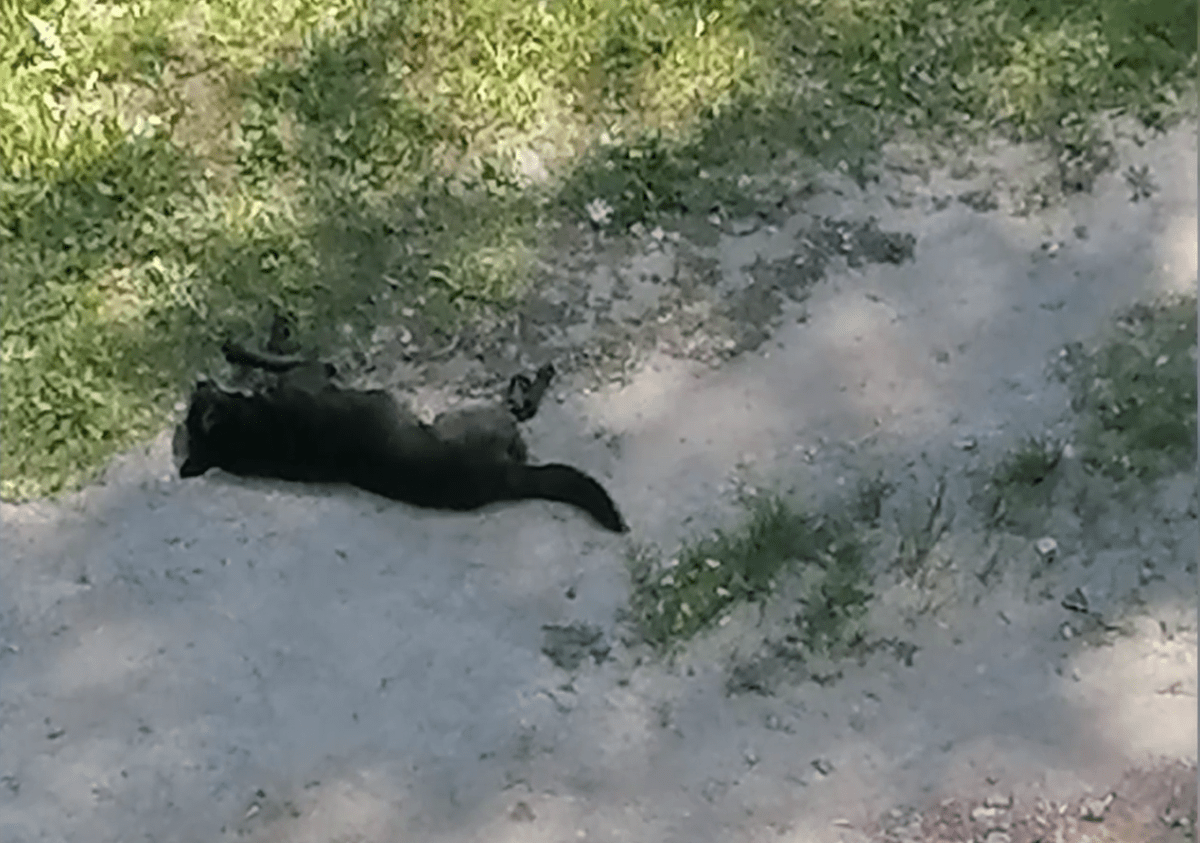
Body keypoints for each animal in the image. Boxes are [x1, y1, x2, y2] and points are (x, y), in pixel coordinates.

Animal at [177, 331, 633, 535]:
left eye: (193, 403)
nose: (198, 382)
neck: (247, 434)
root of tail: (503, 480)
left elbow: (269, 359)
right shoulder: (312, 370)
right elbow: (276, 358)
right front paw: (249, 347)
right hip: (463, 416)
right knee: (520, 411)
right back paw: (529, 384)